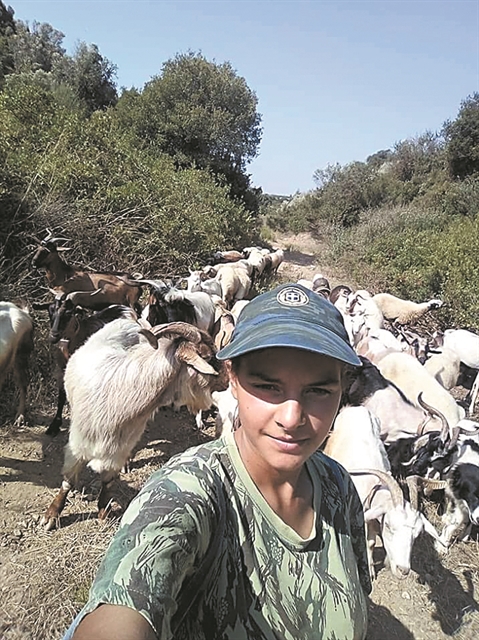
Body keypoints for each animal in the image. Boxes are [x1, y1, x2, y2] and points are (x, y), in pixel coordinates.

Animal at [40, 318, 227, 532]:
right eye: (207, 356)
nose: (226, 380)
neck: (122, 394)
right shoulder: (78, 444)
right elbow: (68, 481)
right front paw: (51, 515)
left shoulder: (118, 449)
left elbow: (108, 481)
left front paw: (104, 513)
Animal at [326, 404, 442, 580]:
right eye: (388, 525)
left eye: (416, 535)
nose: (403, 570)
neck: (375, 486)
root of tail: (356, 408)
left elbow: (371, 543)